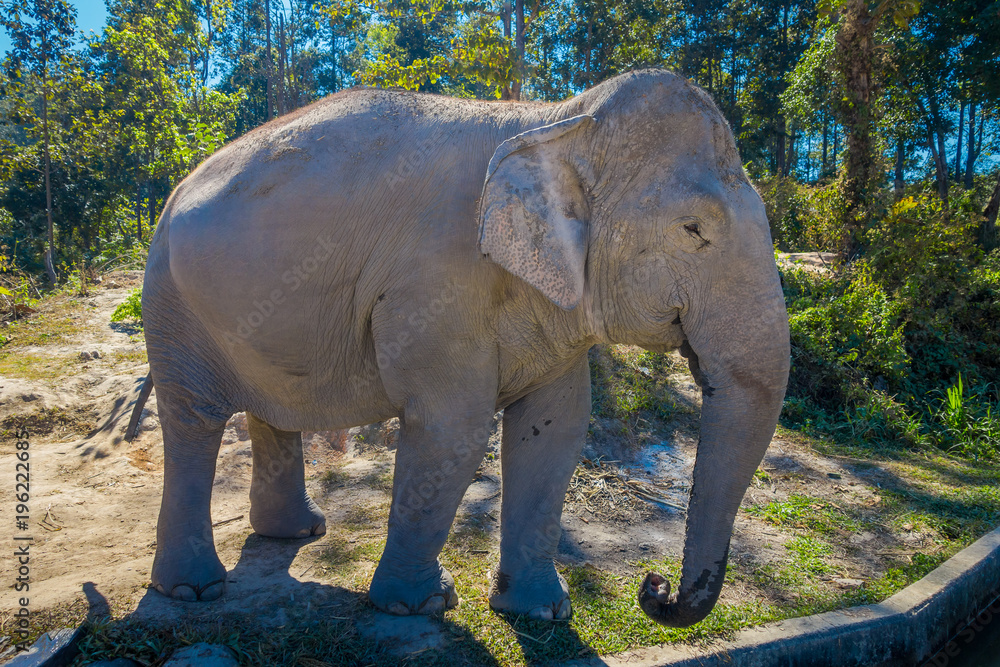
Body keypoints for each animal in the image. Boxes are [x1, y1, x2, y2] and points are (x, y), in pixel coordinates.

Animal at [128, 68, 789, 627]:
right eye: (694, 230)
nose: (654, 588)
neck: (557, 120)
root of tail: (177, 187)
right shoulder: (435, 284)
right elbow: (455, 429)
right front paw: (418, 606)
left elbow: (556, 429)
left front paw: (542, 612)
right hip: (171, 303)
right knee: (192, 421)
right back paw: (191, 589)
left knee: (270, 412)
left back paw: (297, 533)